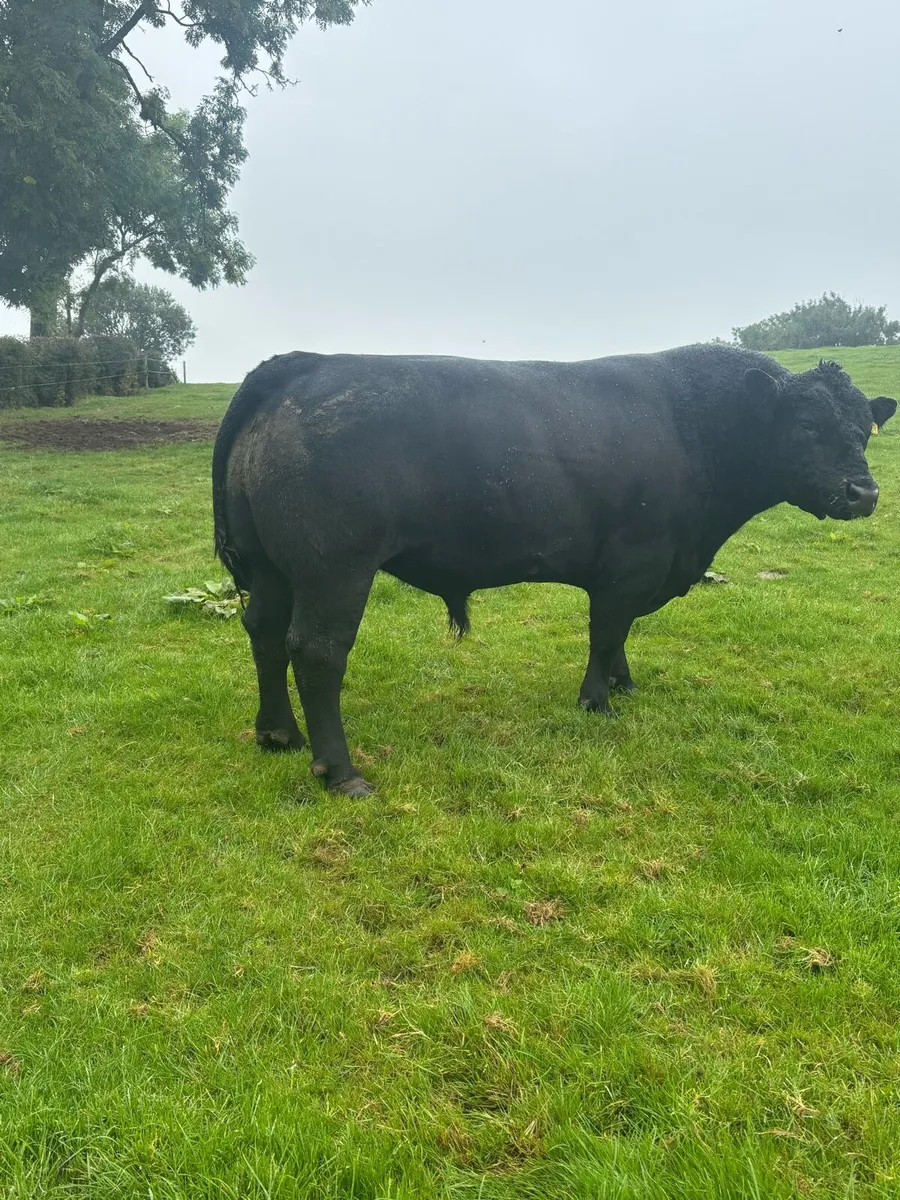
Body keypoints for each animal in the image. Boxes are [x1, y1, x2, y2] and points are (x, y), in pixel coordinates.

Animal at [212, 344, 896, 796]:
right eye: (807, 424)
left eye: (865, 428)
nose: (863, 493)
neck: (694, 428)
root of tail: (308, 363)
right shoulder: (631, 561)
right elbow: (607, 629)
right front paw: (598, 700)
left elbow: (619, 637)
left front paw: (624, 683)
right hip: (335, 569)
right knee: (317, 650)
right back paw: (341, 771)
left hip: (272, 569)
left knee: (264, 634)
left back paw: (278, 734)